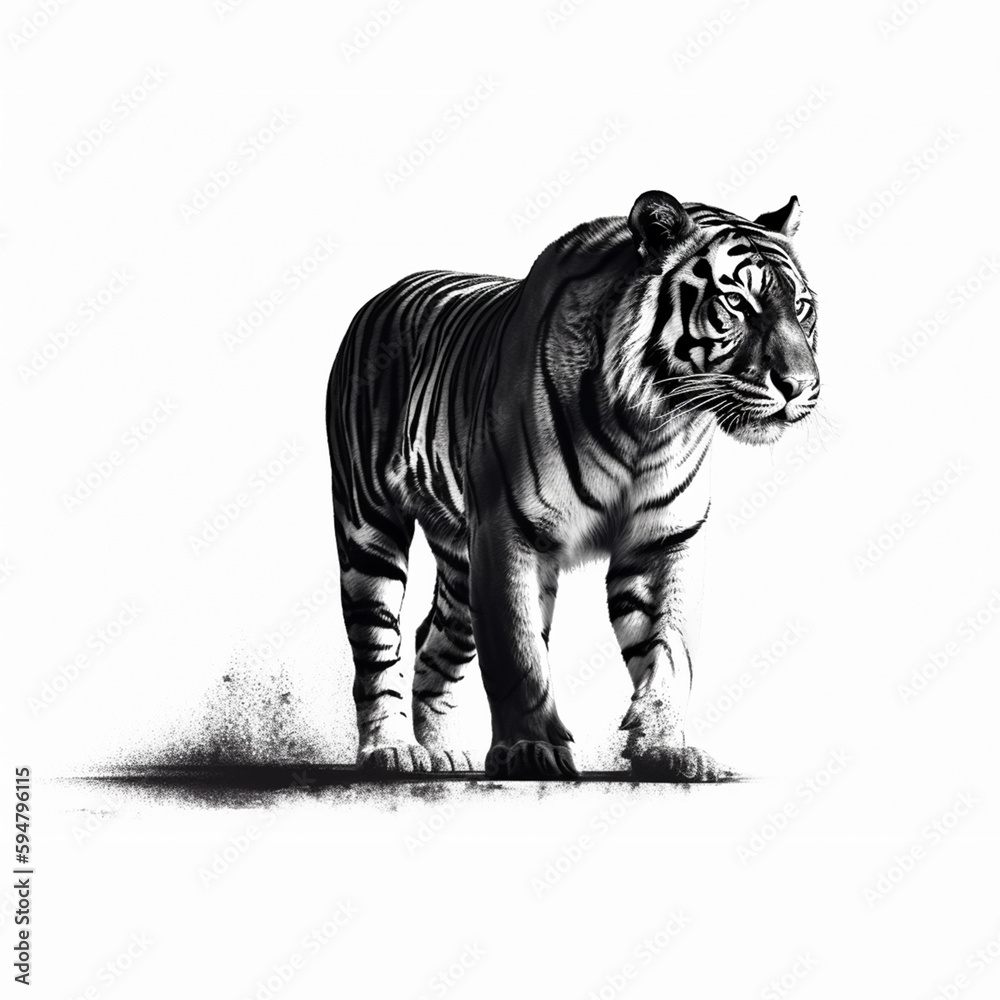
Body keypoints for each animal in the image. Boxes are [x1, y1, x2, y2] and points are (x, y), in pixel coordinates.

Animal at [325, 190, 819, 781]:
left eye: (803, 307)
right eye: (737, 303)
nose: (801, 386)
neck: (650, 421)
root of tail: (382, 294)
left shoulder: (664, 541)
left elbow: (671, 650)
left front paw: (667, 749)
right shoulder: (507, 534)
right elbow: (519, 656)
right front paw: (530, 749)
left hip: (460, 559)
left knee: (434, 638)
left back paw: (442, 750)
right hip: (369, 528)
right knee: (377, 648)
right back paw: (393, 750)